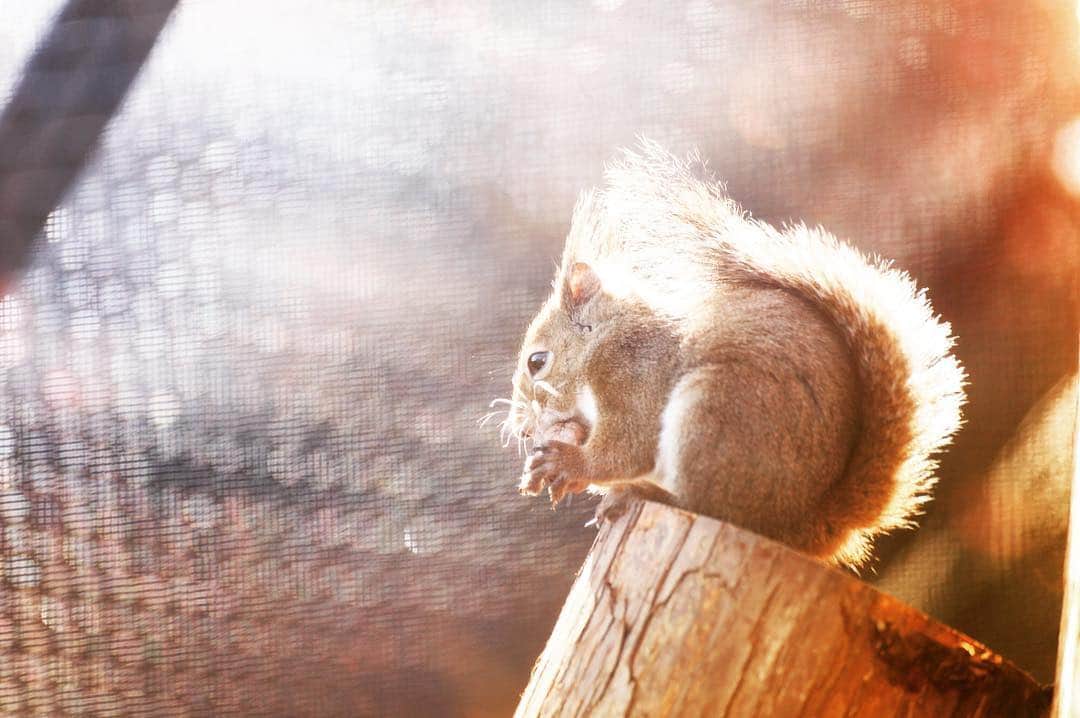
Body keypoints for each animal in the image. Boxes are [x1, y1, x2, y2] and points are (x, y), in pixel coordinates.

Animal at [492, 142, 967, 568]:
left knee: (704, 503)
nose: (520, 429)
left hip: (714, 414)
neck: (610, 337)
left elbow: (627, 447)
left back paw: (642, 492)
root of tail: (803, 528)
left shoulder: (634, 375)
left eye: (537, 362)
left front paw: (568, 460)